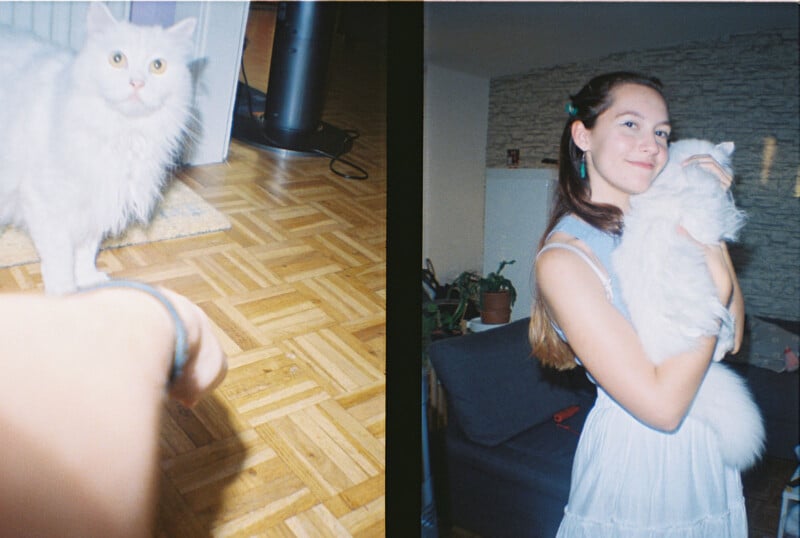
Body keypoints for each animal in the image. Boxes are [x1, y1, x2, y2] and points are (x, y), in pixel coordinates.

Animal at [0, 2, 198, 294]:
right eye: (117, 59)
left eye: (158, 66)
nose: (137, 83)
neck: (122, 134)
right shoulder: (47, 206)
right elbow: (60, 259)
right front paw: (65, 293)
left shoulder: (97, 203)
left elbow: (85, 251)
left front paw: (88, 280)